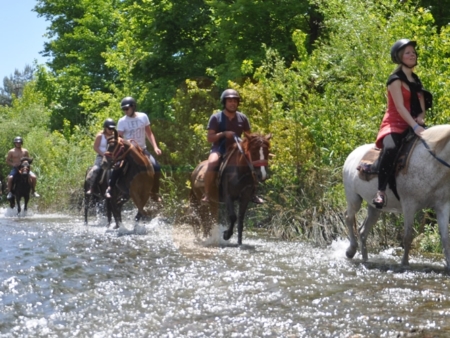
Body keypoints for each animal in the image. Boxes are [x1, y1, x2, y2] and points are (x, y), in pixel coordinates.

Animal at [344, 125, 450, 272]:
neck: (431, 162)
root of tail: (351, 155)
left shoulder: (442, 206)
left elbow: (445, 238)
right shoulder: (409, 205)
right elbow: (408, 236)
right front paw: (404, 263)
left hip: (375, 208)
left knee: (363, 231)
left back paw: (365, 259)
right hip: (354, 200)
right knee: (348, 218)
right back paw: (351, 251)